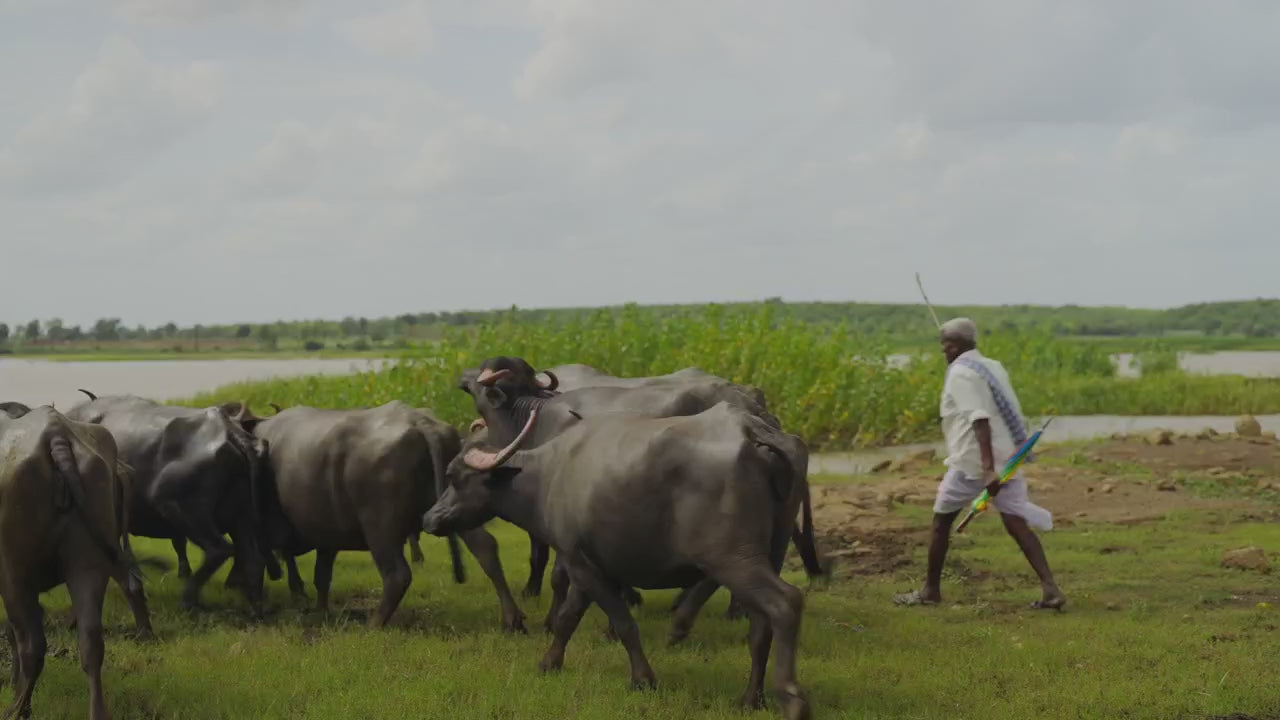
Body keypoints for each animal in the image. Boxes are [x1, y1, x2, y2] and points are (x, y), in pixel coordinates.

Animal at [0, 404, 158, 720]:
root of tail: (56, 436)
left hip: (15, 572)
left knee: (31, 643)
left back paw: (18, 708)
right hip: (89, 563)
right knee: (92, 641)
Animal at [64, 390, 280, 618]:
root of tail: (230, 432)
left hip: (179, 506)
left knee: (219, 549)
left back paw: (188, 599)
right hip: (241, 515)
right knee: (253, 558)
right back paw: (255, 610)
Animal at [235, 400, 527, 631]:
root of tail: (421, 423)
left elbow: (271, 566)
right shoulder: (326, 534)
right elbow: (321, 574)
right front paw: (321, 611)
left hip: (380, 526)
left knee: (397, 574)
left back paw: (374, 623)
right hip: (456, 503)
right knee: (485, 547)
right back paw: (512, 618)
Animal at [421, 402, 813, 720]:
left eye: (456, 478)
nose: (429, 519)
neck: (548, 476)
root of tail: (753, 434)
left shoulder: (582, 565)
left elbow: (623, 622)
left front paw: (643, 678)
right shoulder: (586, 567)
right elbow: (567, 619)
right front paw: (549, 662)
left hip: (733, 558)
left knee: (785, 602)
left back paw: (792, 698)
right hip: (772, 551)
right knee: (760, 626)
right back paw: (750, 698)